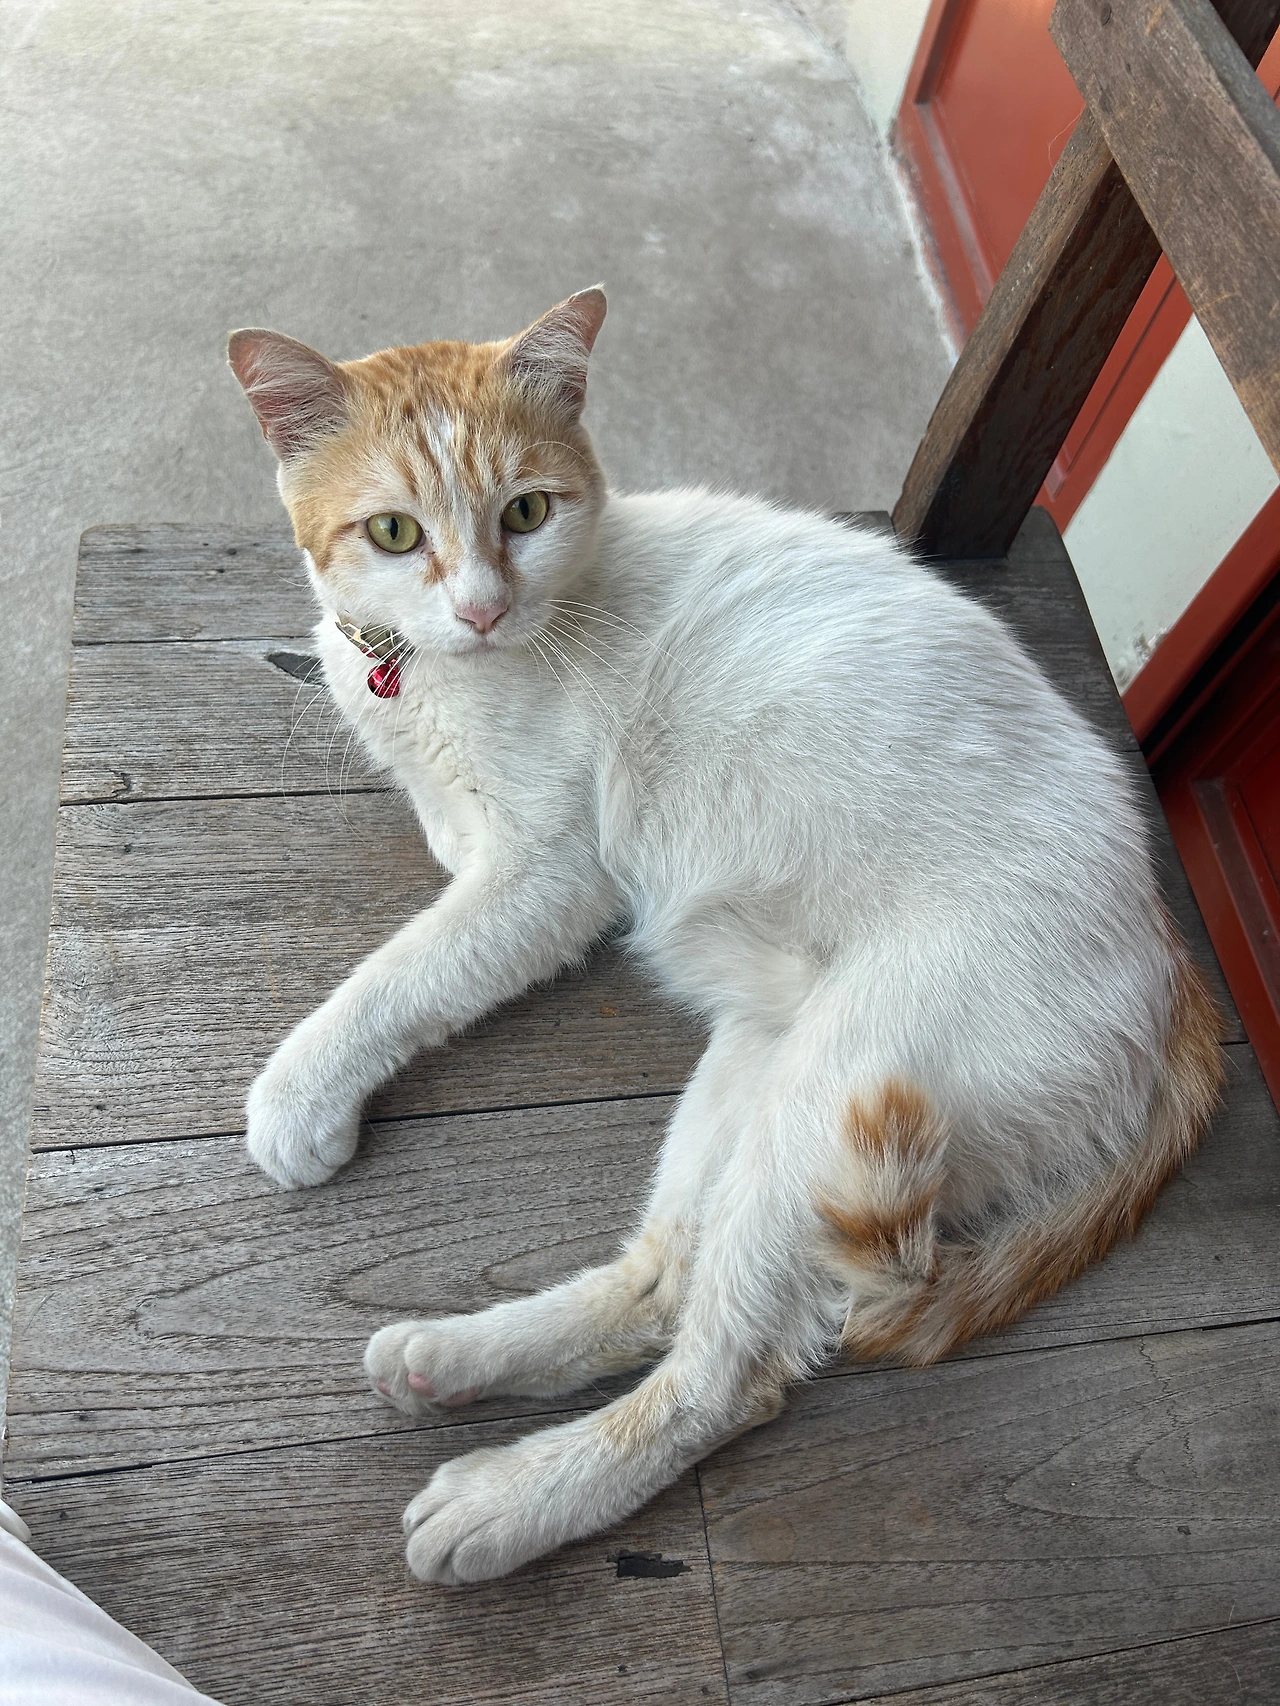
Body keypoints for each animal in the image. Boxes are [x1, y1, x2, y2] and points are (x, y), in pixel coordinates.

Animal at [228, 288, 1222, 1587]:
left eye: (525, 511)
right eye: (393, 532)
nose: (482, 608)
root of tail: (1172, 956)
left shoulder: (547, 876)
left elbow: (400, 973)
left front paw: (300, 1090)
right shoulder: (476, 838)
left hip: (833, 1109)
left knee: (723, 1379)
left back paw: (507, 1498)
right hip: (756, 1075)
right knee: (663, 1282)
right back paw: (457, 1361)